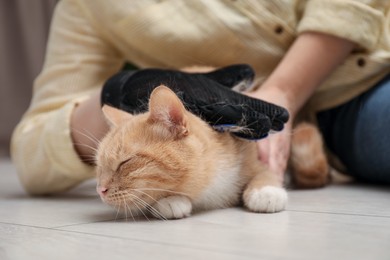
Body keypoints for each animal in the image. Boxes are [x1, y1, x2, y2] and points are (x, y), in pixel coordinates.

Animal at [94, 86, 330, 219]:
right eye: (99, 168)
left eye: (125, 162)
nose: (100, 190)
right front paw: (170, 201)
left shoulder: (261, 158)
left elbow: (264, 174)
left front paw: (266, 191)